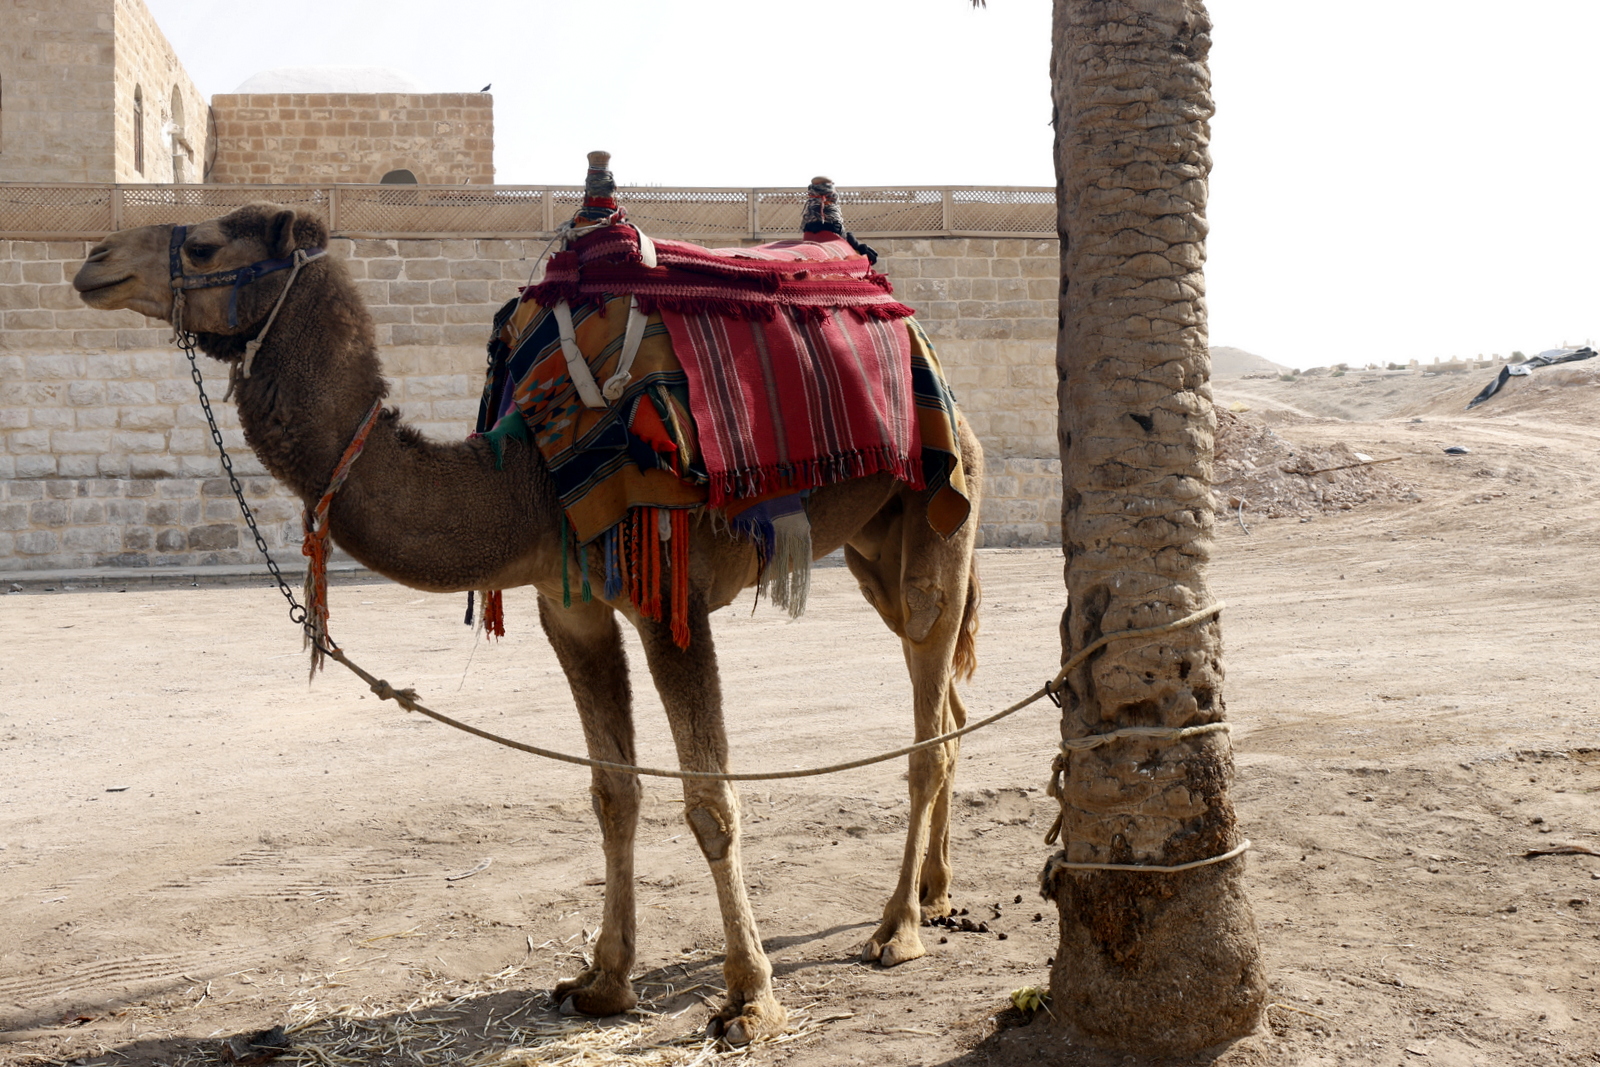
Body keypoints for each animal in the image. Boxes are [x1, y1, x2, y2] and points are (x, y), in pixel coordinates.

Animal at [75, 198, 979, 1043]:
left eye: (203, 246)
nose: (93, 260)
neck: (526, 480)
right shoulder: (568, 607)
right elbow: (613, 791)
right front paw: (603, 981)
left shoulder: (670, 598)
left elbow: (710, 802)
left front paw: (752, 999)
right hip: (871, 549)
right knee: (949, 703)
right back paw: (936, 892)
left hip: (942, 513)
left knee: (927, 727)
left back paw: (896, 928)